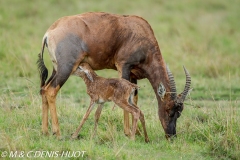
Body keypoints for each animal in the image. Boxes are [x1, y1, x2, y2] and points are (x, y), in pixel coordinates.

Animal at [37, 11, 191, 138]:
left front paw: (138, 132)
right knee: (51, 91)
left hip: (56, 69)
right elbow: (125, 101)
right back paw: (57, 132)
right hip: (66, 68)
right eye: (169, 109)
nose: (171, 136)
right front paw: (128, 132)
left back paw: (45, 131)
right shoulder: (123, 67)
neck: (140, 31)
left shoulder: (133, 75)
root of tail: (49, 32)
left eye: (180, 112)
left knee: (44, 89)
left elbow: (133, 100)